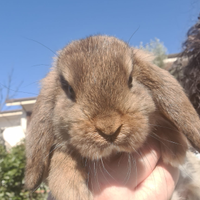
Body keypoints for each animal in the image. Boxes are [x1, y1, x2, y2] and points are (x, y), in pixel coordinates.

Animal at [25, 36, 200, 200]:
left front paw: (175, 150)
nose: (109, 129)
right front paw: (72, 191)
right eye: (68, 89)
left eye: (130, 79)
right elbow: (61, 157)